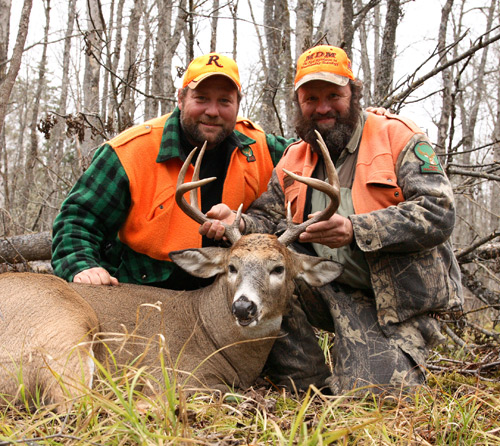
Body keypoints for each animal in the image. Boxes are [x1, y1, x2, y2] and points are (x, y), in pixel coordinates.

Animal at [0, 131, 342, 410]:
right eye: (231, 266)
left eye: (279, 268)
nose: (243, 307)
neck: (215, 338)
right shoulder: (173, 370)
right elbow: (215, 390)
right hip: (64, 323)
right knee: (80, 403)